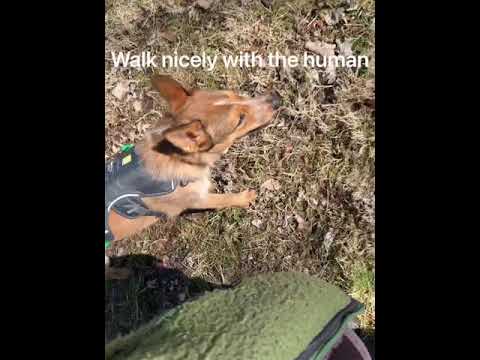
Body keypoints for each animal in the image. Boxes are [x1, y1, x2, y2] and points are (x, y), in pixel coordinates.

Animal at [103, 75, 280, 278]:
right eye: (240, 120)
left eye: (235, 94)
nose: (277, 99)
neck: (177, 157)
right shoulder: (198, 200)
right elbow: (224, 198)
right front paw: (244, 198)